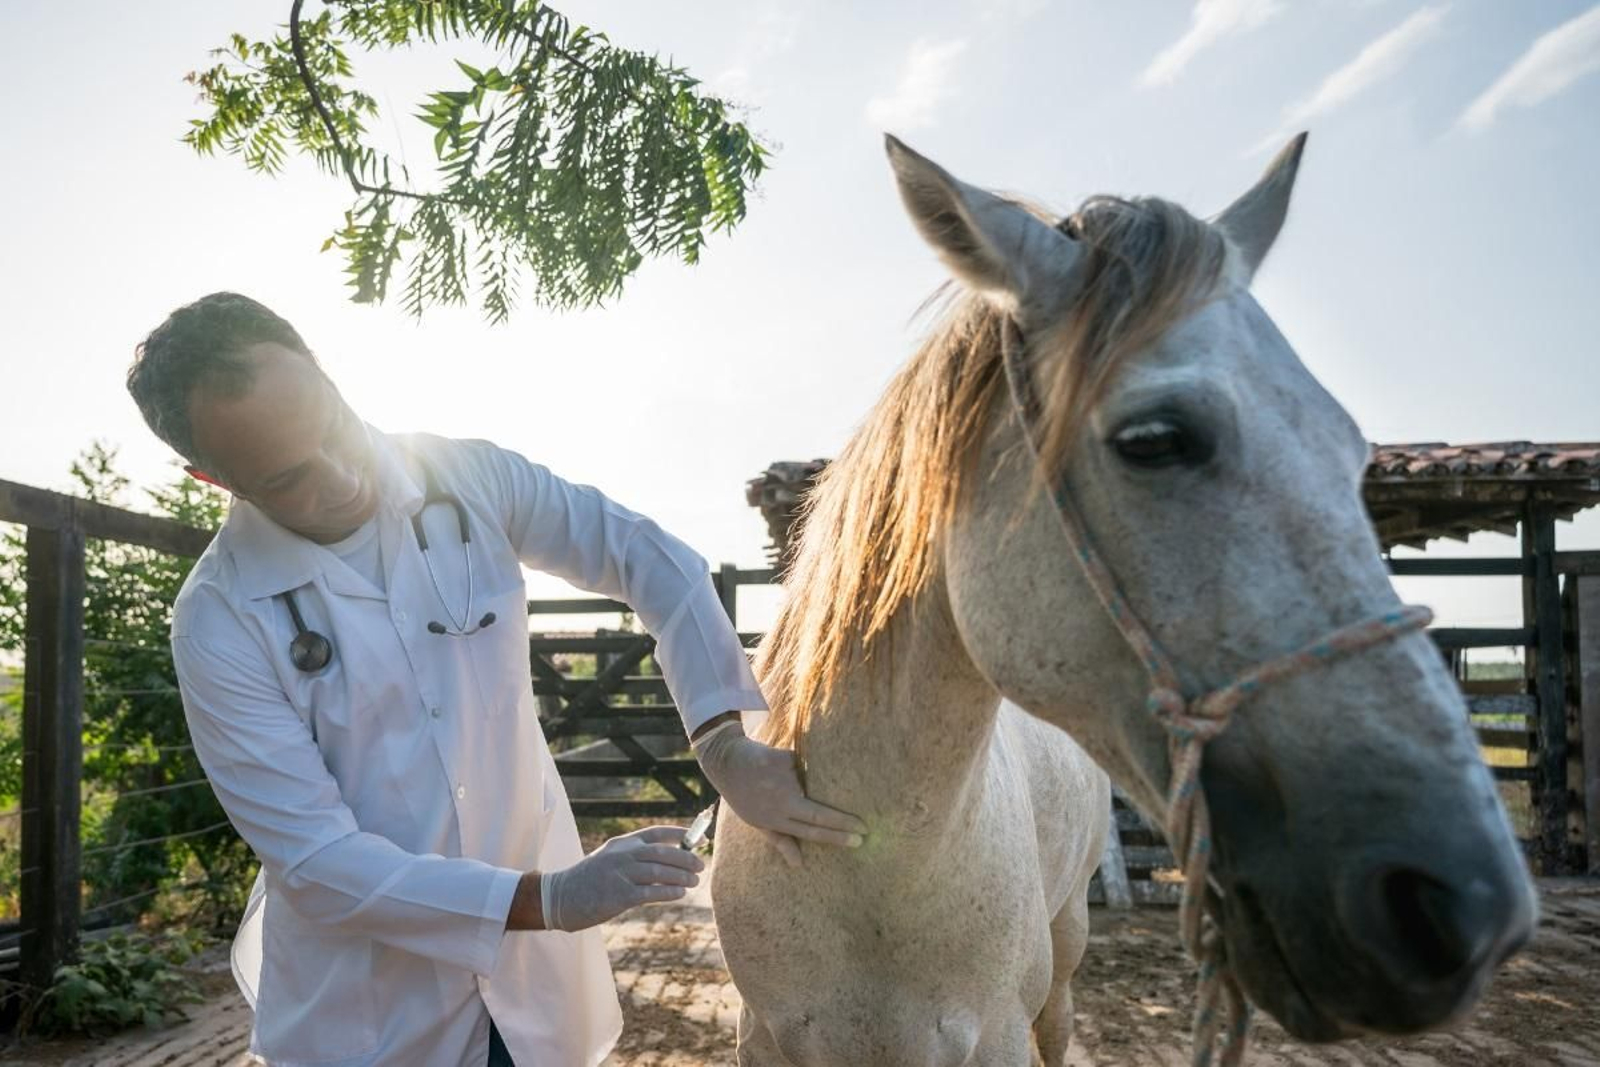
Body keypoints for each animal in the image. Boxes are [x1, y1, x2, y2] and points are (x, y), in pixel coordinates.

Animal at [711, 133, 1537, 1066]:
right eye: (1155, 439)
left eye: (1351, 449)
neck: (868, 864)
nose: (1470, 906)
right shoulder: (762, 1039)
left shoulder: (997, 1036)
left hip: (1063, 961)